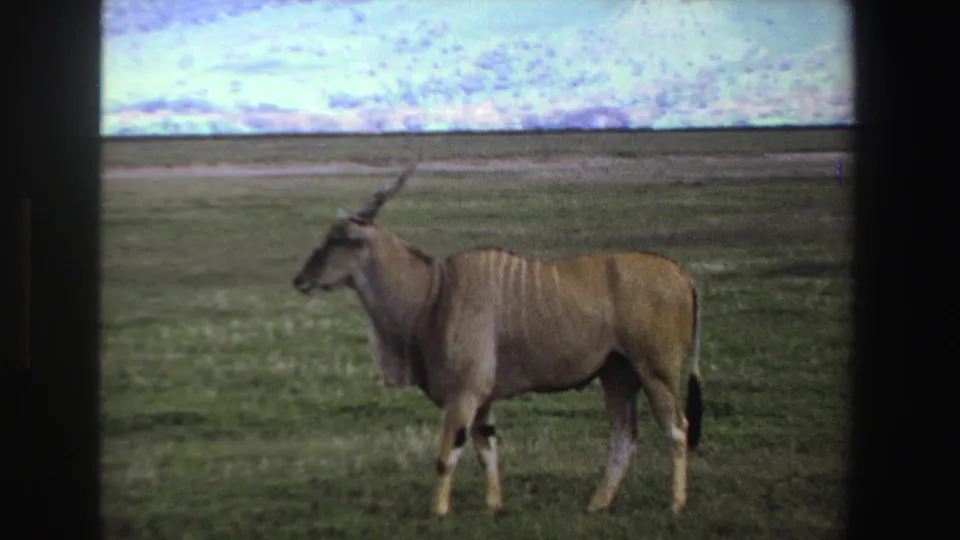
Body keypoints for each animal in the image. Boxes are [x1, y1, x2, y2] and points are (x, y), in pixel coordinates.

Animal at [292, 159, 704, 517]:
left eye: (340, 239)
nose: (300, 280)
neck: (433, 293)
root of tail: (683, 275)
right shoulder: (483, 400)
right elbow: (487, 450)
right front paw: (494, 506)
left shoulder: (464, 395)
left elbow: (447, 456)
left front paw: (438, 512)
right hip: (617, 374)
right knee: (624, 436)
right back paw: (597, 504)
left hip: (655, 371)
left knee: (677, 428)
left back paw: (676, 504)